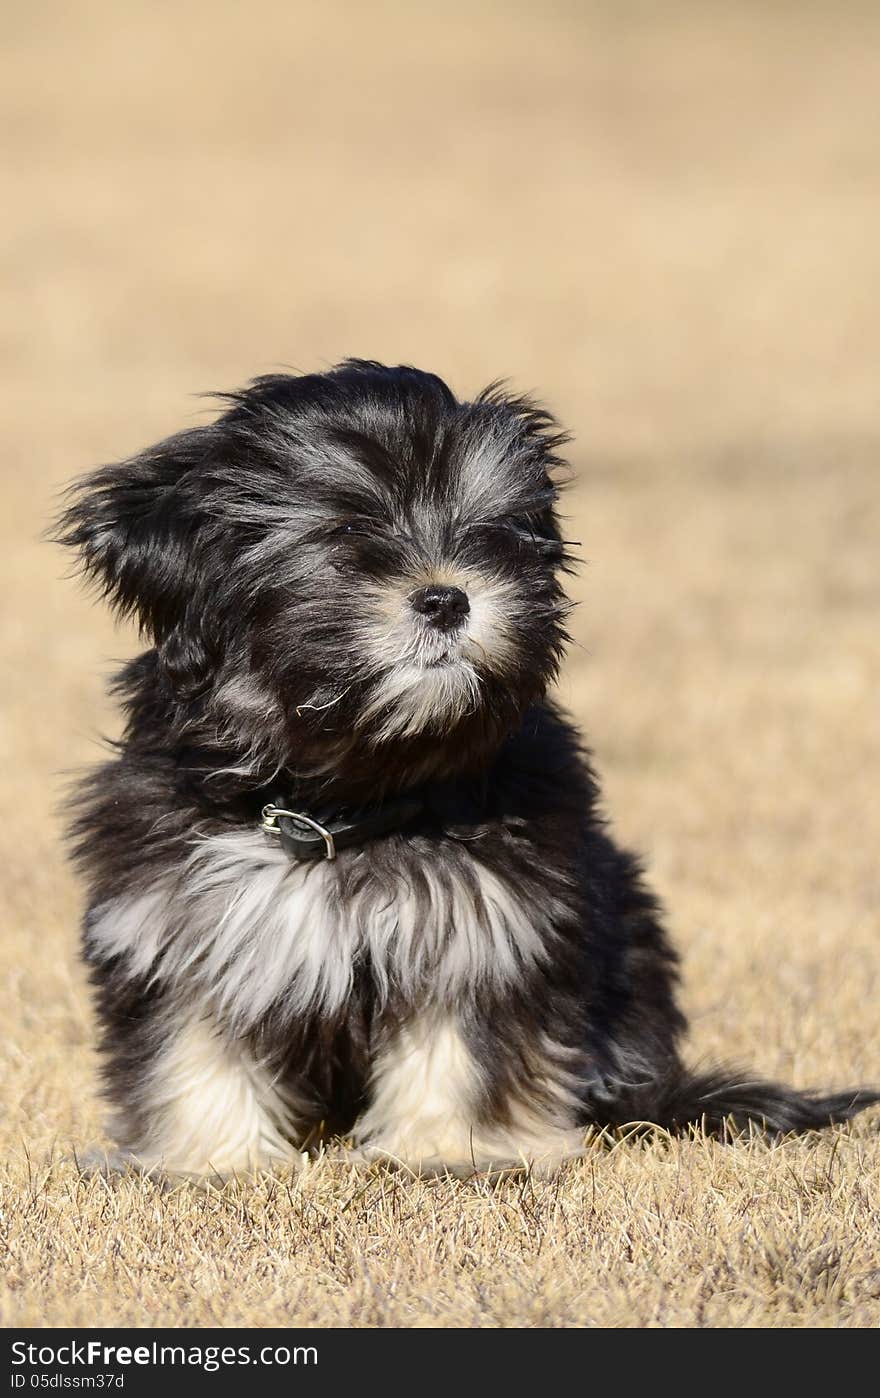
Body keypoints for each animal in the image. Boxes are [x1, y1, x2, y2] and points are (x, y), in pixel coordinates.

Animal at [54, 355, 873, 1174]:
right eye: (346, 530)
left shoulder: (488, 926)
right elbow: (190, 1046)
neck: (345, 801)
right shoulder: (178, 924)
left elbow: (464, 1044)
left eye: (490, 530)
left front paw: (450, 1150)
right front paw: (208, 1159)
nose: (447, 598)